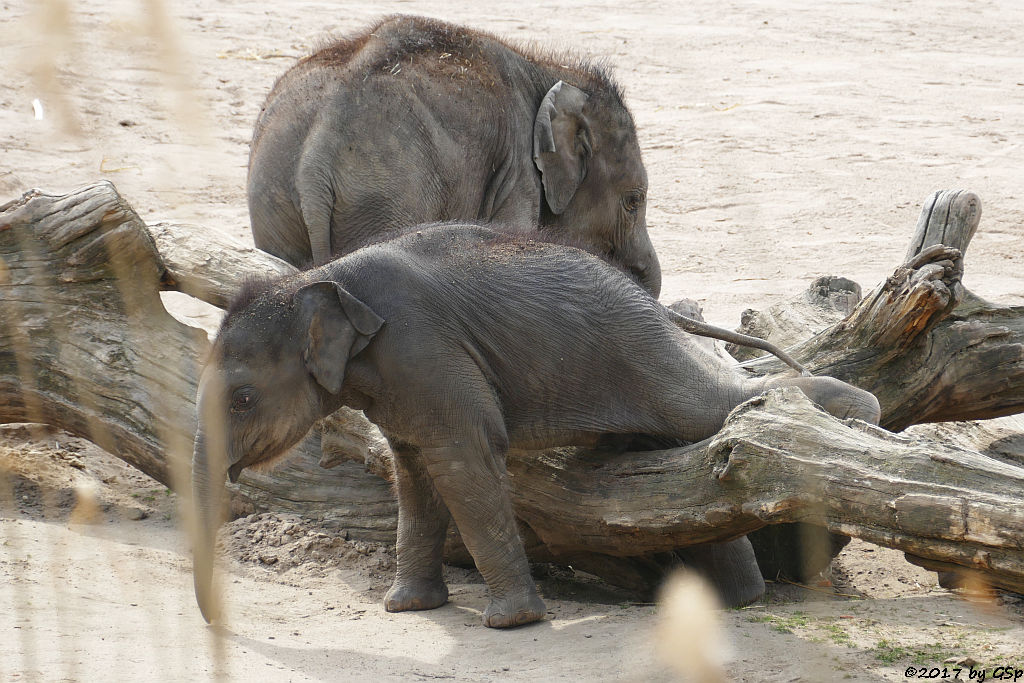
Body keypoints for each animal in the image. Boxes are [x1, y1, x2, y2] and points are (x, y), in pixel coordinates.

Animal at [192, 225, 880, 630]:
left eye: (243, 399)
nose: (219, 623)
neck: (316, 279)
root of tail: (655, 307)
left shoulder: (423, 351)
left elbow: (465, 459)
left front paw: (512, 623)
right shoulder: (404, 382)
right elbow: (413, 471)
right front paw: (408, 607)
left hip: (640, 355)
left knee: (716, 410)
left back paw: (862, 414)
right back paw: (737, 601)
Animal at [248, 14, 663, 296]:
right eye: (633, 201)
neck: (546, 71)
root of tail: (314, 159)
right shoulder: (517, 174)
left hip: (276, 202)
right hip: (382, 197)